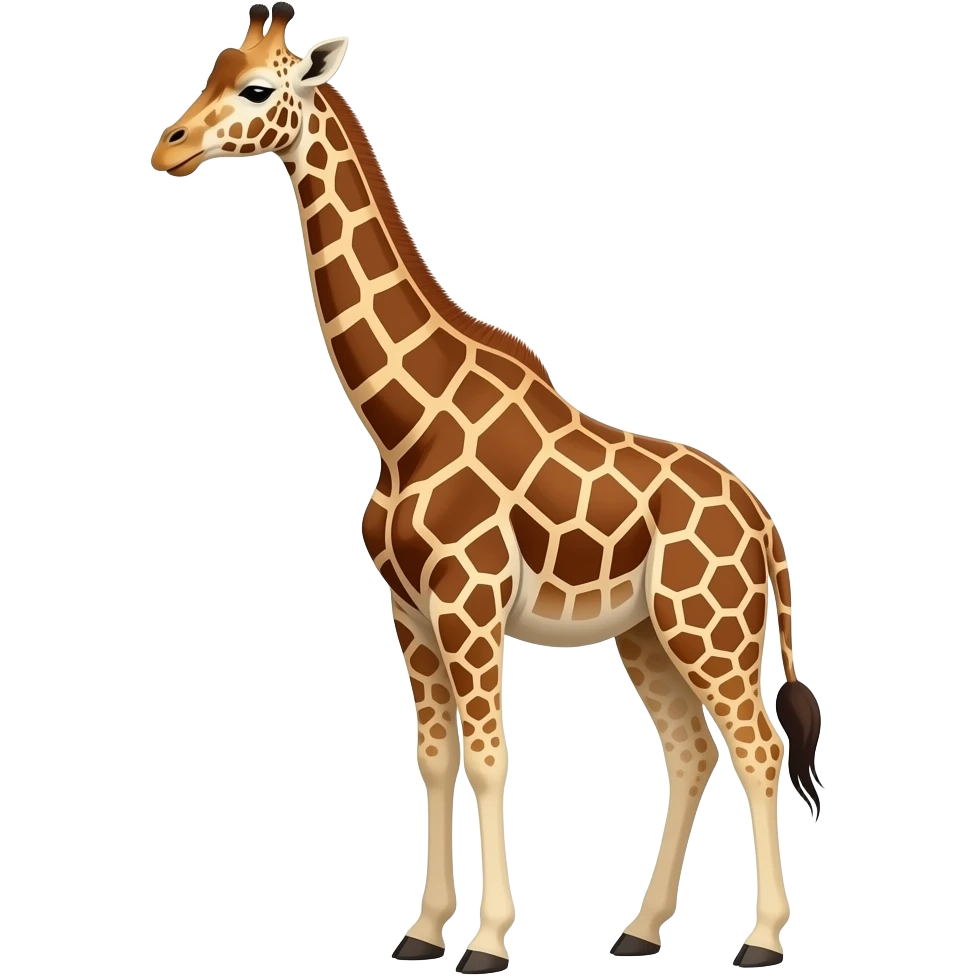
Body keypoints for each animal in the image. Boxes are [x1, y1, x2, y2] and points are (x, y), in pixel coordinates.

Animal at [149, 5, 824, 971]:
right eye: (212, 71)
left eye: (256, 88)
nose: (167, 148)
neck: (403, 423)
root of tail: (768, 527)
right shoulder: (408, 610)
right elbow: (432, 758)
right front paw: (423, 929)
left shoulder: (469, 606)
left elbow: (488, 755)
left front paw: (489, 941)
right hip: (647, 634)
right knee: (693, 750)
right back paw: (640, 930)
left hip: (713, 630)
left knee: (759, 746)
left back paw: (761, 940)